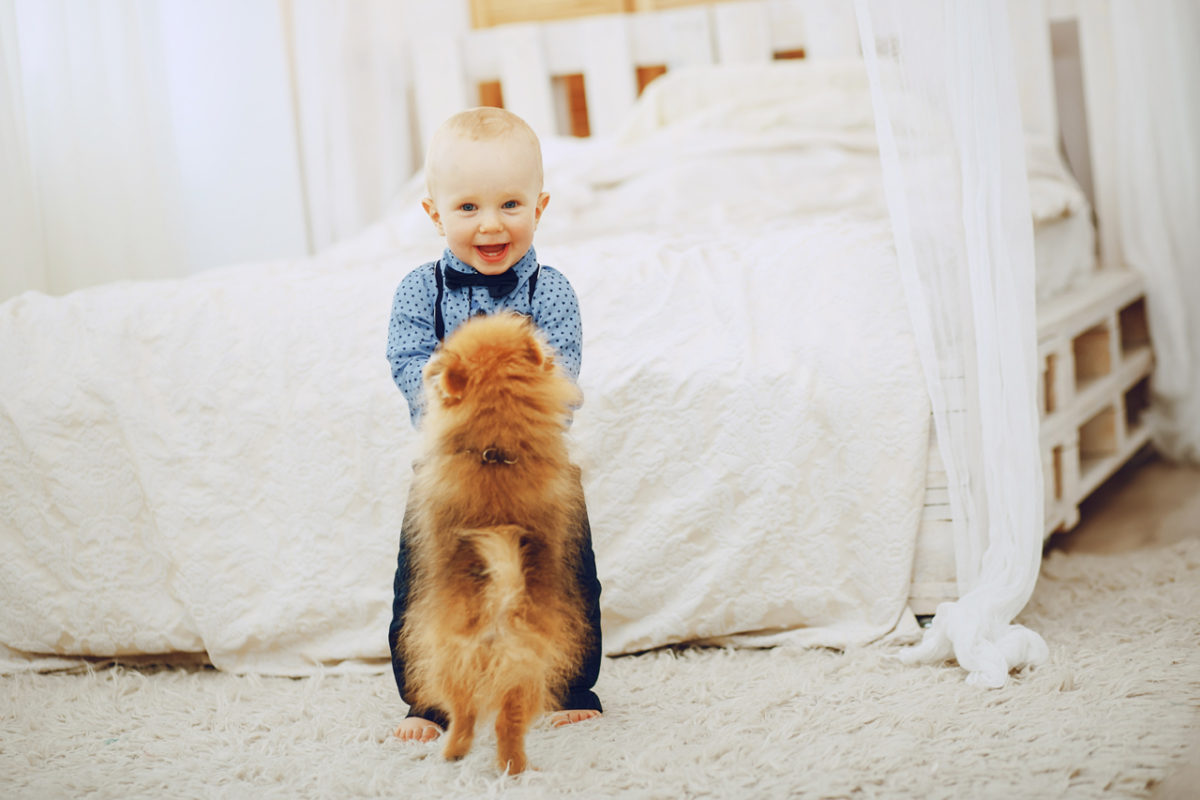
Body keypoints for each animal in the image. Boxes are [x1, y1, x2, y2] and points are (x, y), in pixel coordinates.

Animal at [400, 311, 588, 777]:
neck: (496, 447)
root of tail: (500, 602)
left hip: (447, 656)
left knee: (465, 709)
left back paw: (456, 751)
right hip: (524, 665)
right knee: (507, 718)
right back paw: (508, 766)